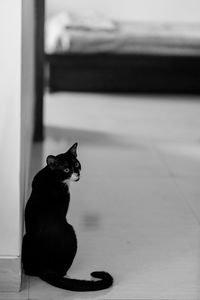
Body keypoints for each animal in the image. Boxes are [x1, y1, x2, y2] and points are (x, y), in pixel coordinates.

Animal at [22, 143, 113, 290]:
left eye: (76, 164)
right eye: (66, 169)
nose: (77, 173)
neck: (51, 176)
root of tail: (45, 269)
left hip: (26, 238)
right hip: (72, 232)